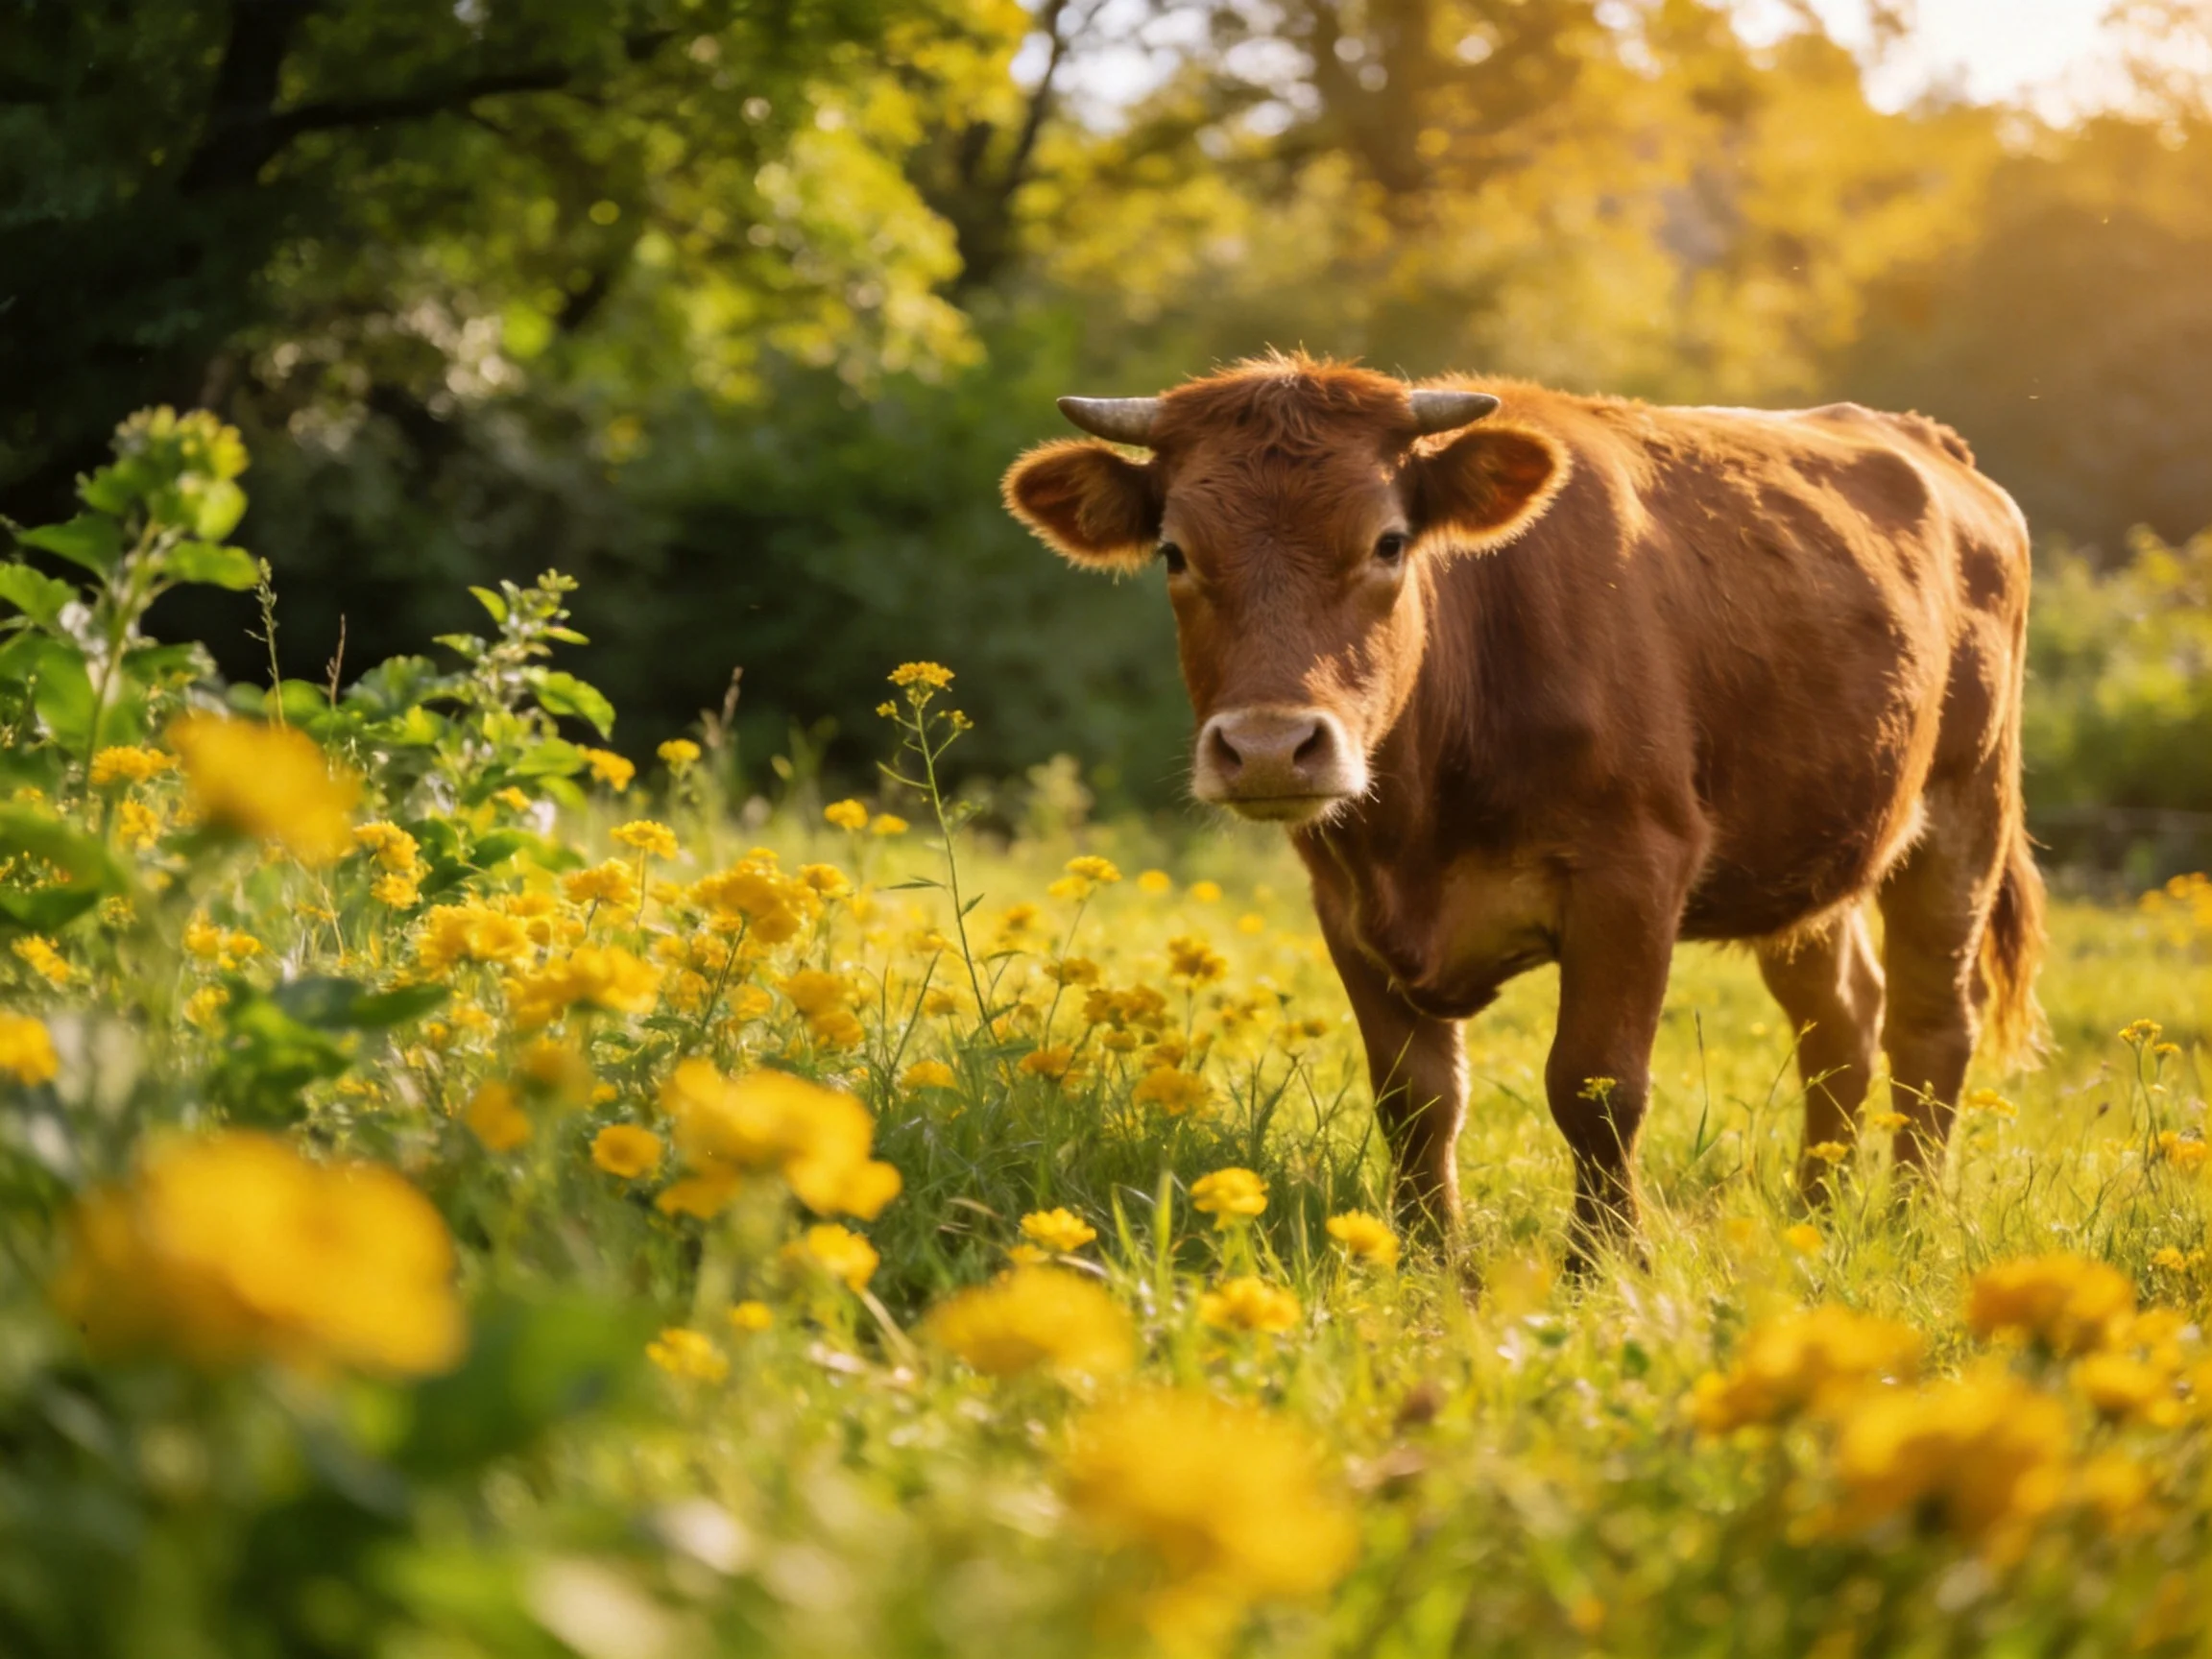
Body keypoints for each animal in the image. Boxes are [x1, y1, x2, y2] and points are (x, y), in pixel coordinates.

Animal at [1000, 351, 2045, 1264]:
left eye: (1387, 542)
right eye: (1176, 552)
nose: (1267, 746)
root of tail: (1928, 444)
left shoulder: (1635, 872)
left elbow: (1596, 1086)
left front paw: (1605, 1265)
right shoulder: (1344, 902)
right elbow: (1417, 1099)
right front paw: (1428, 1261)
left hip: (1966, 805)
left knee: (1929, 1025)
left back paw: (1906, 1220)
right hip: (1804, 851)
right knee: (1840, 1024)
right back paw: (1813, 1219)